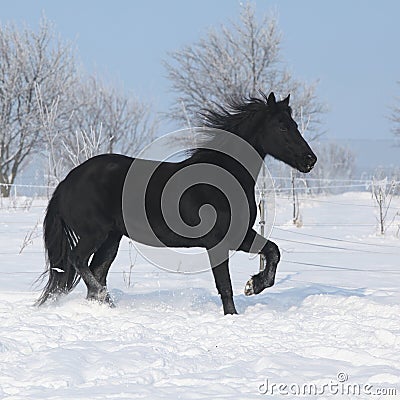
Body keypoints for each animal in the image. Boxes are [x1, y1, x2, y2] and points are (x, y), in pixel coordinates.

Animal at [36, 92, 316, 314]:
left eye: (295, 124)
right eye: (282, 127)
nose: (310, 160)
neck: (221, 177)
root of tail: (66, 182)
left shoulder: (239, 235)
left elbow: (273, 251)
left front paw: (254, 285)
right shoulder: (218, 241)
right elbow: (225, 285)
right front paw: (235, 310)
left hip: (111, 238)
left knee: (96, 270)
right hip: (95, 234)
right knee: (79, 261)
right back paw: (106, 301)